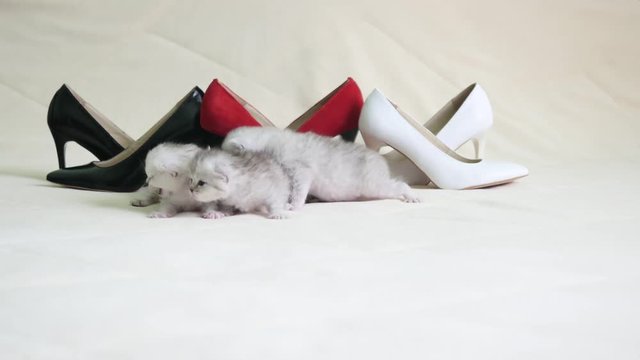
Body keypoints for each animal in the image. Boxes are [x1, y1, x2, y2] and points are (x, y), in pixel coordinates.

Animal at [222, 126, 422, 208]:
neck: (267, 140)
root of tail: (379, 159)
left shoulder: (300, 170)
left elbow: (299, 190)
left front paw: (293, 205)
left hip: (374, 186)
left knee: (399, 185)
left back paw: (412, 196)